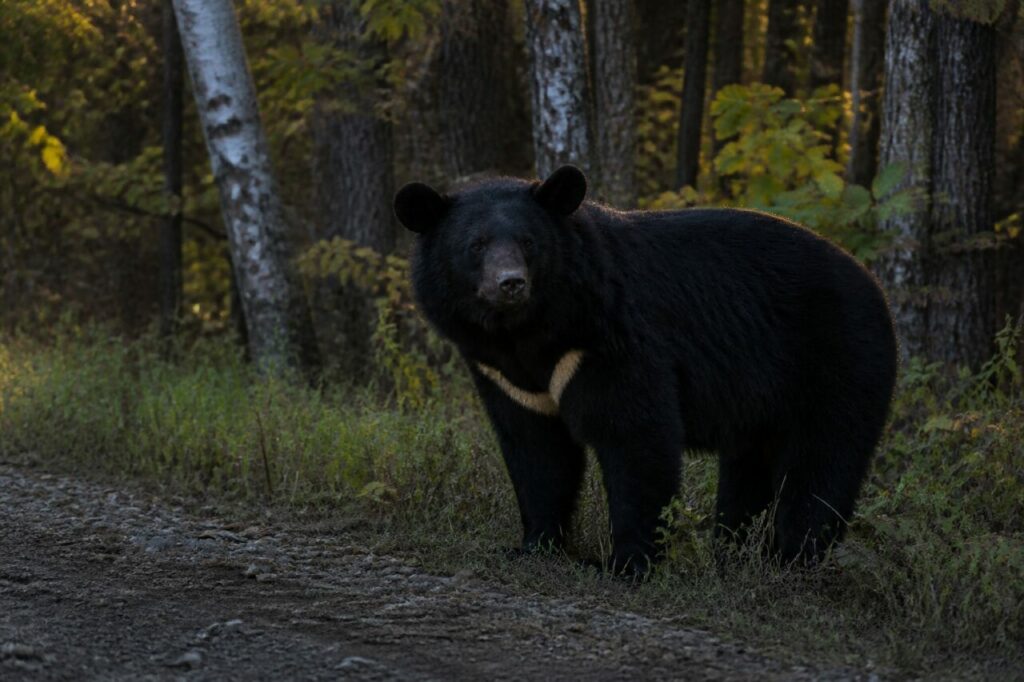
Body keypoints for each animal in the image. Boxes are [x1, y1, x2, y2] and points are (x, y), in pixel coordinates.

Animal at [394, 165, 897, 575]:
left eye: (528, 243)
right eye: (475, 245)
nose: (510, 284)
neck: (529, 332)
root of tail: (875, 286)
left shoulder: (609, 338)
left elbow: (634, 434)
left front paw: (625, 563)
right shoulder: (506, 375)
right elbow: (536, 449)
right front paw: (533, 545)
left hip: (839, 361)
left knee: (821, 465)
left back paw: (791, 559)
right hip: (769, 396)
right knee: (749, 471)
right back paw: (733, 555)